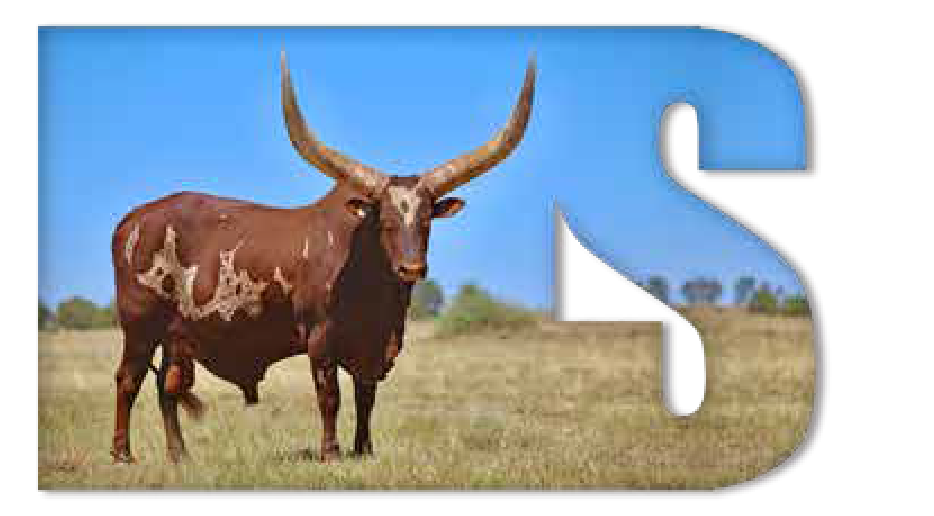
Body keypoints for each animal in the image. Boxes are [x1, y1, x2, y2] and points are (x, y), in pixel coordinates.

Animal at [109, 52, 535, 463]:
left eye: (427, 220)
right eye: (384, 221)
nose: (412, 268)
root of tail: (132, 218)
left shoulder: (374, 345)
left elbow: (366, 397)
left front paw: (364, 449)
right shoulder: (321, 338)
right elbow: (330, 397)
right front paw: (330, 452)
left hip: (175, 333)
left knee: (166, 386)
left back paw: (179, 455)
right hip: (139, 325)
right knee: (128, 380)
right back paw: (123, 454)